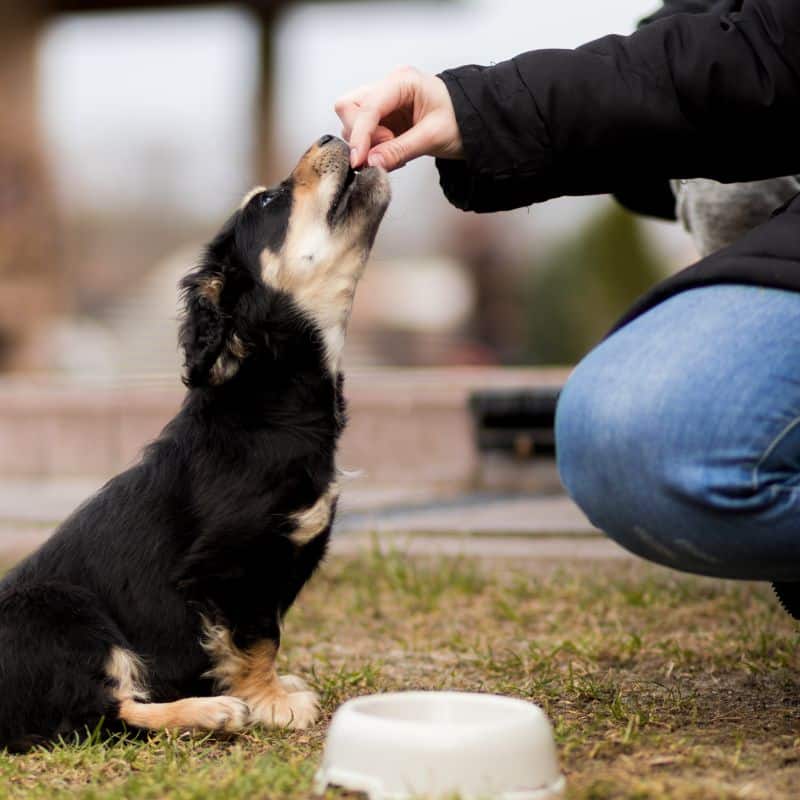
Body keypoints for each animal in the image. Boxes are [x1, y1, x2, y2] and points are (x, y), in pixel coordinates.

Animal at [0, 134, 390, 752]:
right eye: (268, 202)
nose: (331, 136)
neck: (267, 395)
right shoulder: (229, 568)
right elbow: (258, 637)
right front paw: (271, 701)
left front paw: (274, 690)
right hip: (64, 612)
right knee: (96, 716)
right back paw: (211, 712)